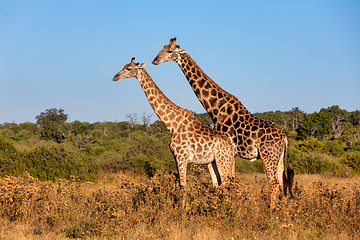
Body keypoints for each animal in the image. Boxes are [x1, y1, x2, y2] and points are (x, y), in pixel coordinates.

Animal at [113, 57, 236, 189]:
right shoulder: (176, 158)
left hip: (222, 161)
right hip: (213, 162)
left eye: (128, 68)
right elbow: (179, 184)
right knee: (217, 184)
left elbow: (183, 186)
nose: (115, 77)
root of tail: (231, 147)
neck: (172, 125)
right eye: (124, 66)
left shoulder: (182, 157)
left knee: (226, 185)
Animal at [153, 38, 296, 212]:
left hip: (268, 156)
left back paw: (270, 211)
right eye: (162, 48)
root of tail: (285, 137)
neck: (215, 108)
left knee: (274, 181)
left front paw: (228, 207)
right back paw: (283, 209)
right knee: (282, 180)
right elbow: (227, 181)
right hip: (279, 158)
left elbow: (229, 180)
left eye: (169, 51)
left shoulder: (229, 151)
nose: (154, 60)